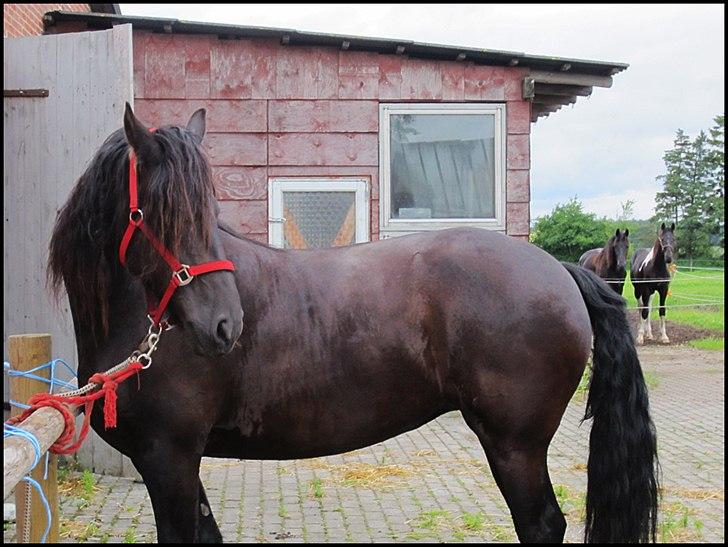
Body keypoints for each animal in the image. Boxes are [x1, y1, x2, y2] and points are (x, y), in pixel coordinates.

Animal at [48, 104, 656, 544]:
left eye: (207, 210)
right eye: (155, 211)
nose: (225, 325)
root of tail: (558, 270)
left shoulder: (169, 459)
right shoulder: (177, 466)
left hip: (516, 446)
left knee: (542, 525)